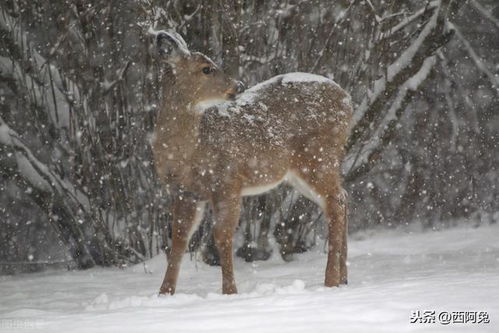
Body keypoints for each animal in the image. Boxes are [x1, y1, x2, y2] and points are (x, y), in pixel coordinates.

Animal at [151, 29, 352, 294]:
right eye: (206, 69)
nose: (239, 85)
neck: (189, 152)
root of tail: (348, 99)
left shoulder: (228, 181)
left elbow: (222, 236)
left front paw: (230, 291)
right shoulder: (185, 192)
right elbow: (179, 241)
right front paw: (164, 293)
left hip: (317, 157)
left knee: (336, 202)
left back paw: (330, 280)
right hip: (300, 172)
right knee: (340, 198)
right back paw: (343, 279)